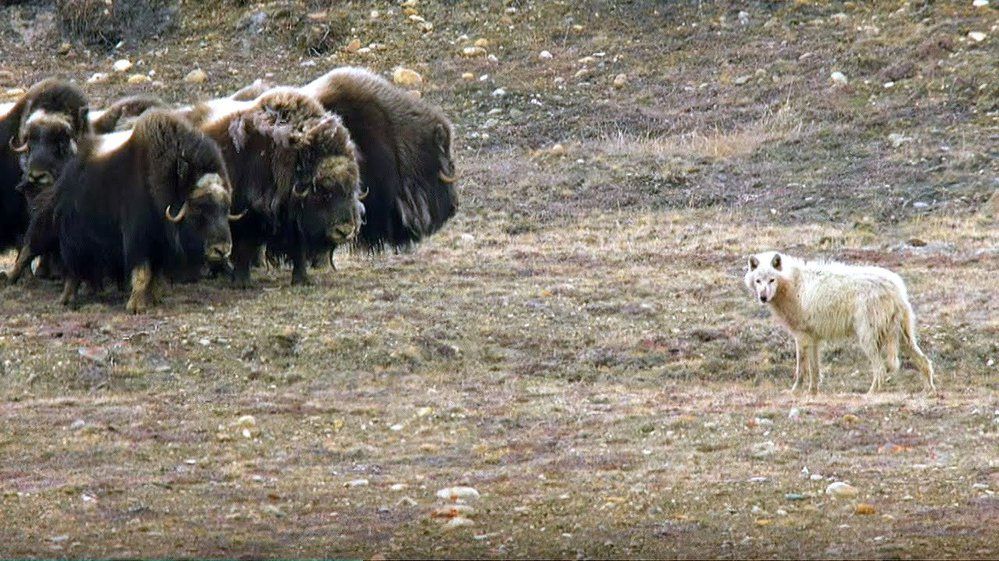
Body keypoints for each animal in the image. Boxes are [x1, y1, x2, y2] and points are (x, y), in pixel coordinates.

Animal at [748, 252, 932, 392]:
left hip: (868, 339)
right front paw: (812, 393)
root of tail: (896, 289)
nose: (763, 297)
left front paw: (795, 392)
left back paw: (870, 394)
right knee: (924, 361)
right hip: (903, 339)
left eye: (771, 280)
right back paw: (929, 391)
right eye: (758, 281)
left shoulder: (802, 337)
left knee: (880, 369)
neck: (793, 284)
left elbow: (801, 369)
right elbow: (814, 370)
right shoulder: (814, 339)